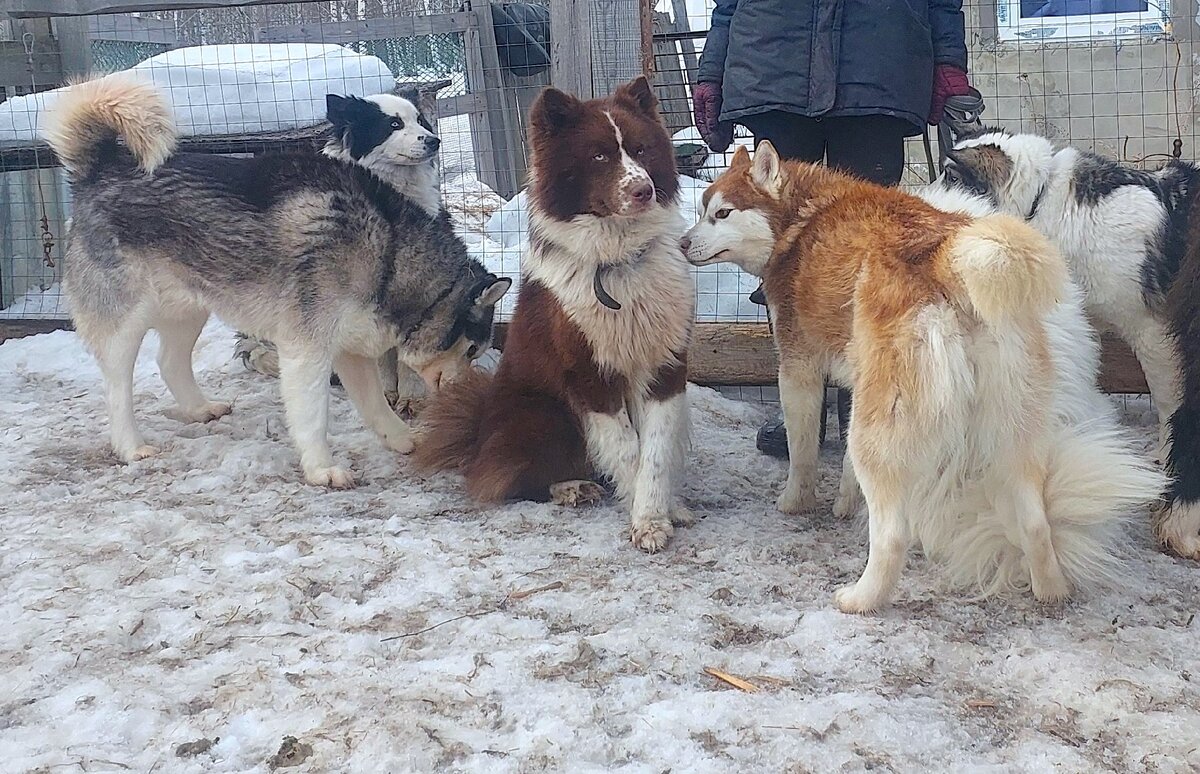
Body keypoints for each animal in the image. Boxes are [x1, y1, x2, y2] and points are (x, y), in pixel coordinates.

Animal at [43, 79, 506, 489]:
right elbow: (313, 416)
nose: (473, 396)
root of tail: (100, 170)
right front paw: (322, 469)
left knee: (169, 361)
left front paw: (406, 439)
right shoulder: (307, 350)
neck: (388, 249)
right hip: (124, 321)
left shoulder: (351, 350)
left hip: (191, 308)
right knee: (118, 386)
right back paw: (131, 446)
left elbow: (376, 405)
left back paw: (199, 409)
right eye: (471, 349)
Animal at [412, 76, 696, 549]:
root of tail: (478, 432)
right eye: (599, 155)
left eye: (640, 150)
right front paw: (645, 520)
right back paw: (571, 488)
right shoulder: (588, 375)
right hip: (545, 414)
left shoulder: (665, 367)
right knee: (507, 479)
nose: (644, 191)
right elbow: (628, 451)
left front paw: (661, 510)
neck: (615, 263)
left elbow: (655, 452)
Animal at [686, 140, 1161, 609]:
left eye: (721, 214)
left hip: (880, 434)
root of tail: (949, 257)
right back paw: (1049, 592)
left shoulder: (799, 369)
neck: (801, 218)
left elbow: (803, 453)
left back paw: (860, 598)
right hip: (1009, 432)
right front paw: (845, 503)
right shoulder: (857, 382)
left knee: (894, 533)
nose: (682, 241)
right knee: (1035, 522)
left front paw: (794, 502)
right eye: (702, 209)